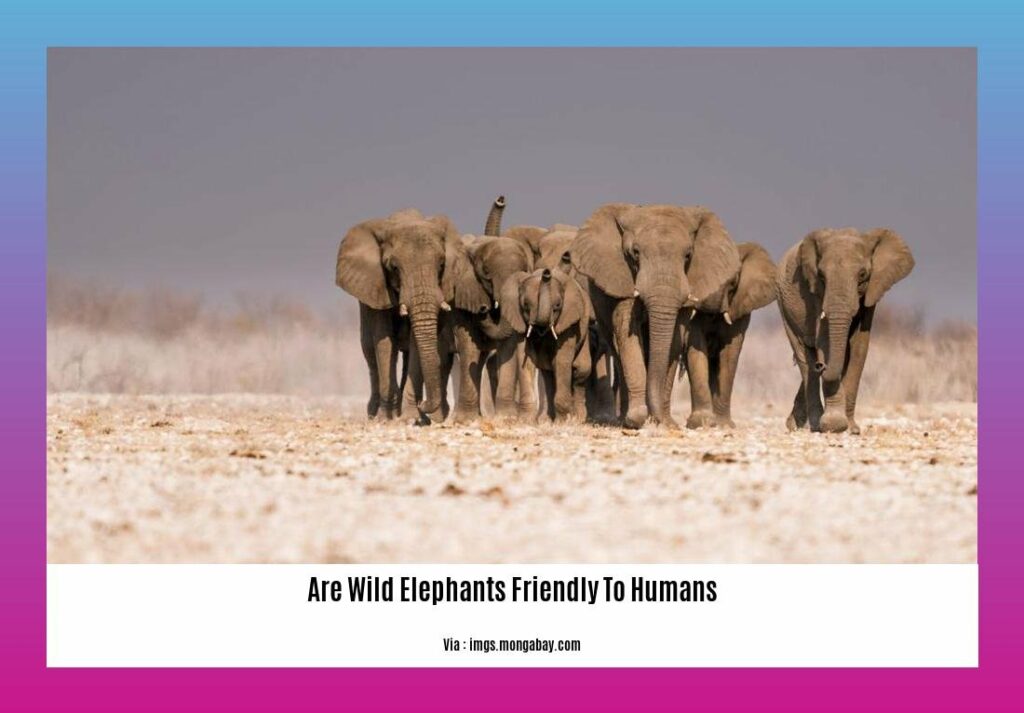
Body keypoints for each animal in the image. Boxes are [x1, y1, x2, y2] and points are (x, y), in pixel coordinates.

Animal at [334, 208, 477, 424]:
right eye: (394, 267)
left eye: (441, 265)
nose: (423, 404)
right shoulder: (378, 285)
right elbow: (384, 340)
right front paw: (388, 418)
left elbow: (414, 343)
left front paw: (411, 417)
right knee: (369, 350)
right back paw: (374, 414)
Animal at [500, 264, 592, 421]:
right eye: (525, 305)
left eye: (558, 305)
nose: (546, 272)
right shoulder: (519, 320)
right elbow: (526, 359)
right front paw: (527, 420)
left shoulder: (569, 321)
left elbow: (561, 360)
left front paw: (564, 421)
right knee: (548, 372)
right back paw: (547, 420)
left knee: (580, 368)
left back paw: (577, 419)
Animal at [569, 203, 741, 429]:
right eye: (635, 253)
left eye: (688, 255)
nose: (658, 419)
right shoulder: (623, 278)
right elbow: (628, 334)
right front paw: (637, 419)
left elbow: (675, 339)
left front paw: (666, 424)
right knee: (617, 348)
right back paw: (626, 419)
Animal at [681, 242, 777, 428]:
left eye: (733, 281)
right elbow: (696, 344)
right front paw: (701, 422)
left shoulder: (740, 306)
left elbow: (729, 353)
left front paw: (723, 424)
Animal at [777, 227, 915, 434]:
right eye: (821, 276)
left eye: (863, 274)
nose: (821, 365)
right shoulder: (815, 294)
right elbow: (824, 343)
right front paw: (834, 425)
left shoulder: (871, 292)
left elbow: (859, 346)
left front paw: (851, 429)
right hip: (783, 305)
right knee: (803, 356)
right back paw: (813, 425)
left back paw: (798, 424)